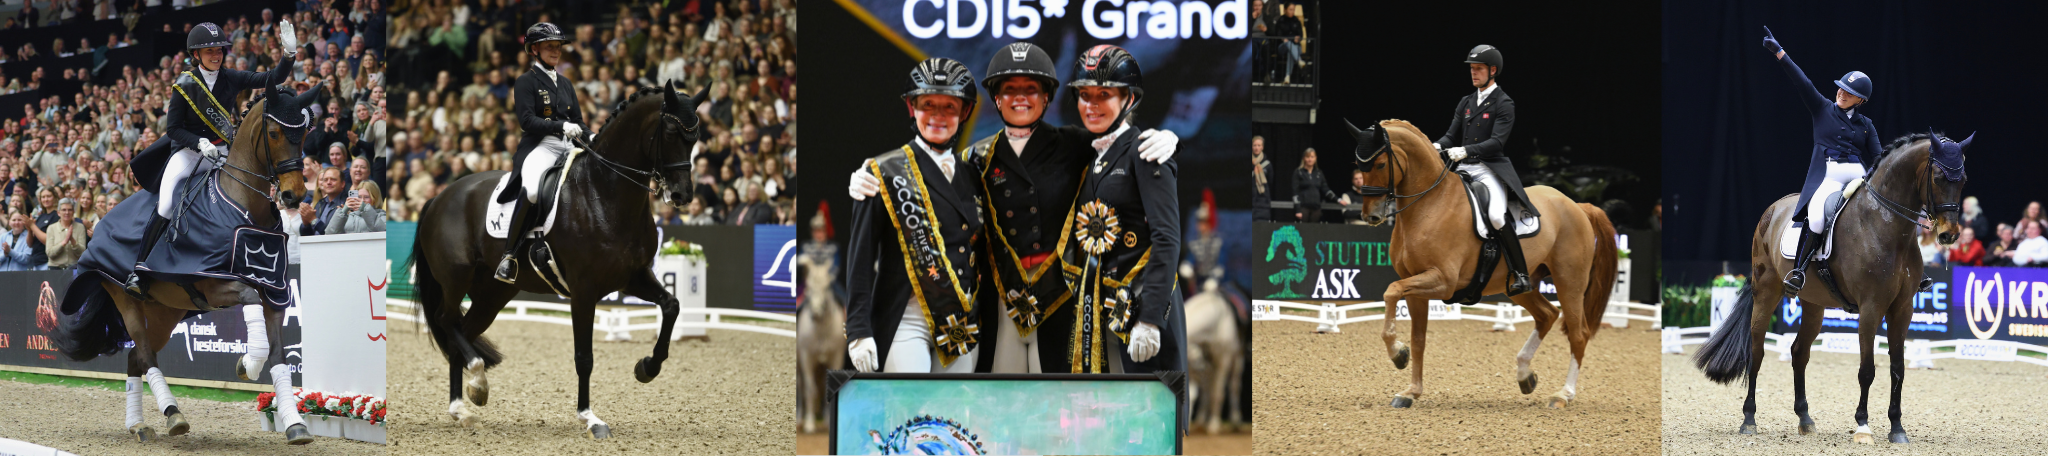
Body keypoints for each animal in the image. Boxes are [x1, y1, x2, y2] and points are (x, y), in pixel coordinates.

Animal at [51, 85, 315, 443]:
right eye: (273, 133)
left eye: (304, 134)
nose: (293, 196)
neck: (242, 205)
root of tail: (100, 224)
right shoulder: (216, 285)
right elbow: (250, 307)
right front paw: (246, 364)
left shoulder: (275, 293)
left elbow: (277, 356)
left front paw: (294, 424)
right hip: (125, 298)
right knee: (144, 354)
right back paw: (173, 416)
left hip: (165, 311)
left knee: (135, 357)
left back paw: (138, 424)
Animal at [406, 82, 706, 439]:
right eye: (672, 131)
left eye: (696, 136)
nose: (682, 196)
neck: (604, 193)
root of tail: (438, 197)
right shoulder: (583, 290)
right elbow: (584, 357)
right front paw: (590, 419)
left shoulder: (634, 276)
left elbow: (672, 306)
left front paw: (646, 368)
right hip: (455, 279)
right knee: (446, 320)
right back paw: (475, 384)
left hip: (493, 293)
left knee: (461, 331)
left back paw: (464, 406)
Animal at [1343, 119, 1620, 409]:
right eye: (1358, 165)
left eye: (1380, 164)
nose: (1370, 216)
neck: (1431, 203)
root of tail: (1577, 205)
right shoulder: (1416, 286)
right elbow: (1418, 338)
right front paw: (1410, 390)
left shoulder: (1443, 281)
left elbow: (1391, 291)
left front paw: (1398, 354)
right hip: (1518, 286)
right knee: (1547, 315)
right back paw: (1525, 375)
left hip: (1570, 283)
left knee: (1578, 333)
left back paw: (1563, 395)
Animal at [1694, 132, 1969, 445]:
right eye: (1938, 177)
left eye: (1963, 179)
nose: (1949, 235)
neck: (1886, 225)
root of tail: (1775, 208)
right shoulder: (1871, 307)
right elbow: (1867, 369)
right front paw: (1863, 426)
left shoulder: (1903, 308)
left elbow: (1897, 368)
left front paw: (1897, 428)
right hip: (1767, 291)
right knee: (1757, 351)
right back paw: (1749, 419)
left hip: (1814, 304)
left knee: (1799, 352)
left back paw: (1805, 419)